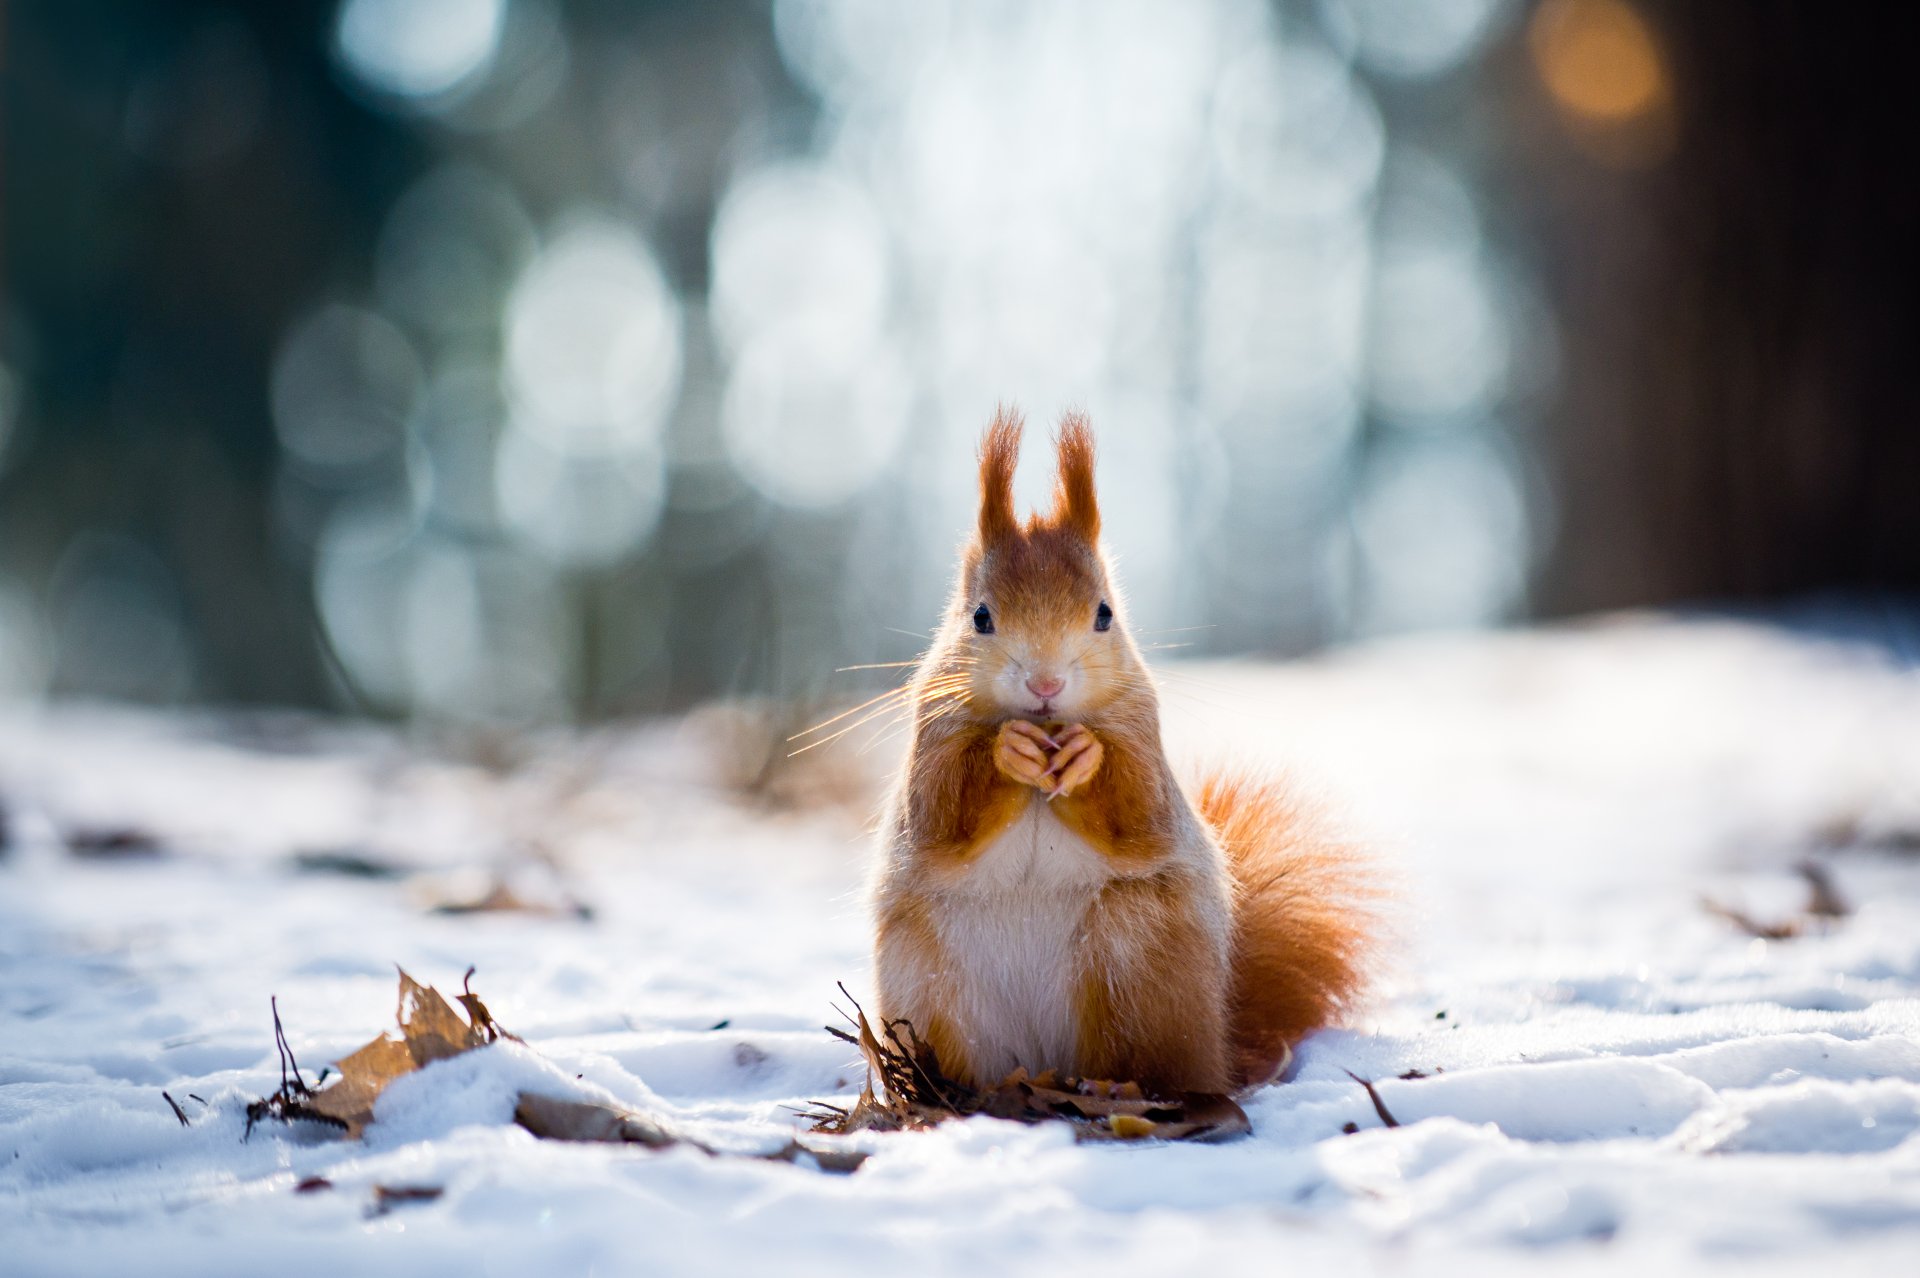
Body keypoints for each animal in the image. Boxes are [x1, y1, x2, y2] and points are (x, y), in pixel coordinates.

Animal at [872, 408, 1380, 1097]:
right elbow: (941, 814)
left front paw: (1087, 757)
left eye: (1105, 614)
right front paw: (1008, 750)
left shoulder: (1144, 736)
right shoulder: (931, 738)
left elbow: (1138, 810)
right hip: (929, 985)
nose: (1046, 685)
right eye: (979, 617)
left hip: (1135, 957)